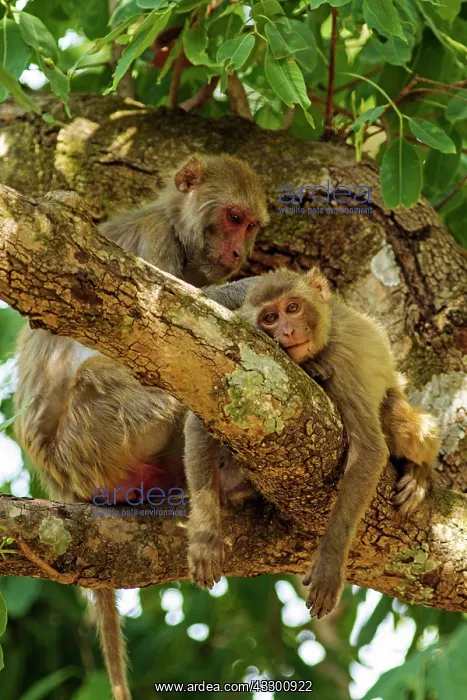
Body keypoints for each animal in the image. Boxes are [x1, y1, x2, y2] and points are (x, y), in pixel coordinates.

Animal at [13, 153, 269, 700]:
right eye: (234, 217)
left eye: (252, 225)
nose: (241, 251)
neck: (175, 221)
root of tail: (61, 485)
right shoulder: (157, 241)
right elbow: (171, 328)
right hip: (98, 439)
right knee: (111, 373)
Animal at [184, 267, 439, 618]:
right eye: (270, 318)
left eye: (292, 308)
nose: (288, 330)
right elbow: (197, 423)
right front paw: (206, 537)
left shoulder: (343, 362)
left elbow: (370, 449)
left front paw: (329, 563)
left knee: (400, 423)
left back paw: (419, 474)